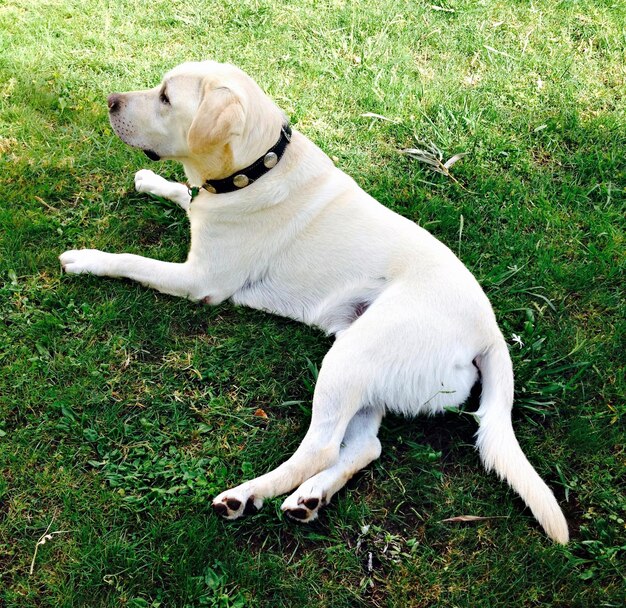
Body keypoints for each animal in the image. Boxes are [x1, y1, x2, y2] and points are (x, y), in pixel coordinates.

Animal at [61, 60, 568, 540]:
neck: (256, 169)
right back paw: (310, 498)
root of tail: (489, 332)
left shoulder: (199, 279)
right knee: (365, 446)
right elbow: (181, 193)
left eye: (166, 97)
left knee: (322, 447)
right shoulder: (202, 213)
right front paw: (150, 180)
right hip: (365, 369)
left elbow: (133, 260)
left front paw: (86, 258)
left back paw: (247, 494)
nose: (110, 100)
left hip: (351, 358)